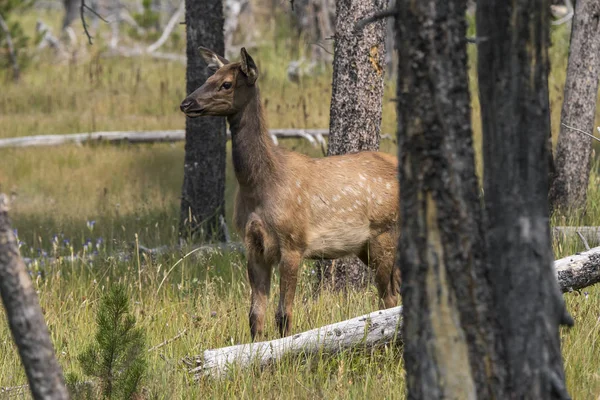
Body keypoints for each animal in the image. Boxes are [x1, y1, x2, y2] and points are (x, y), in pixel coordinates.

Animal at [180, 47, 400, 340]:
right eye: (209, 77)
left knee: (389, 297)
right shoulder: (253, 245)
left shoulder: (293, 242)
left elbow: (284, 315)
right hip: (367, 245)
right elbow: (255, 316)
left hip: (384, 233)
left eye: (226, 84)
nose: (186, 103)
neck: (260, 185)